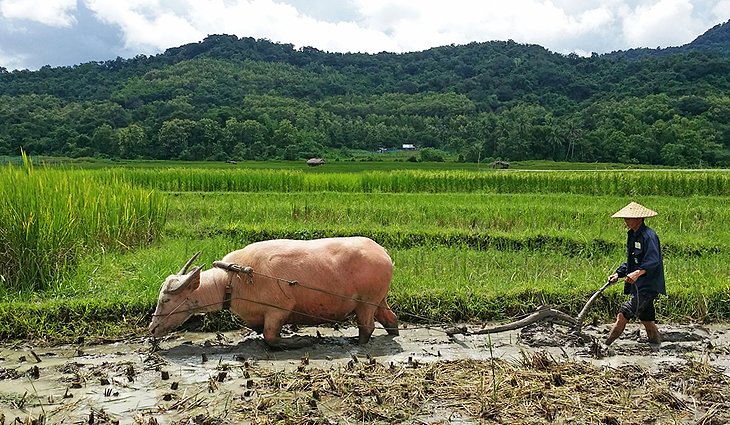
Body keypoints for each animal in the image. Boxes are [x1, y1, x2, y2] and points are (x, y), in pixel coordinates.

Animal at [148, 235, 398, 348]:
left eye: (166, 299)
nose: (152, 328)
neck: (232, 280)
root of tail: (383, 252)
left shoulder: (278, 310)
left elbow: (270, 338)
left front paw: (300, 341)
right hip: (379, 300)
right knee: (390, 318)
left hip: (366, 302)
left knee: (367, 327)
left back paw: (358, 342)